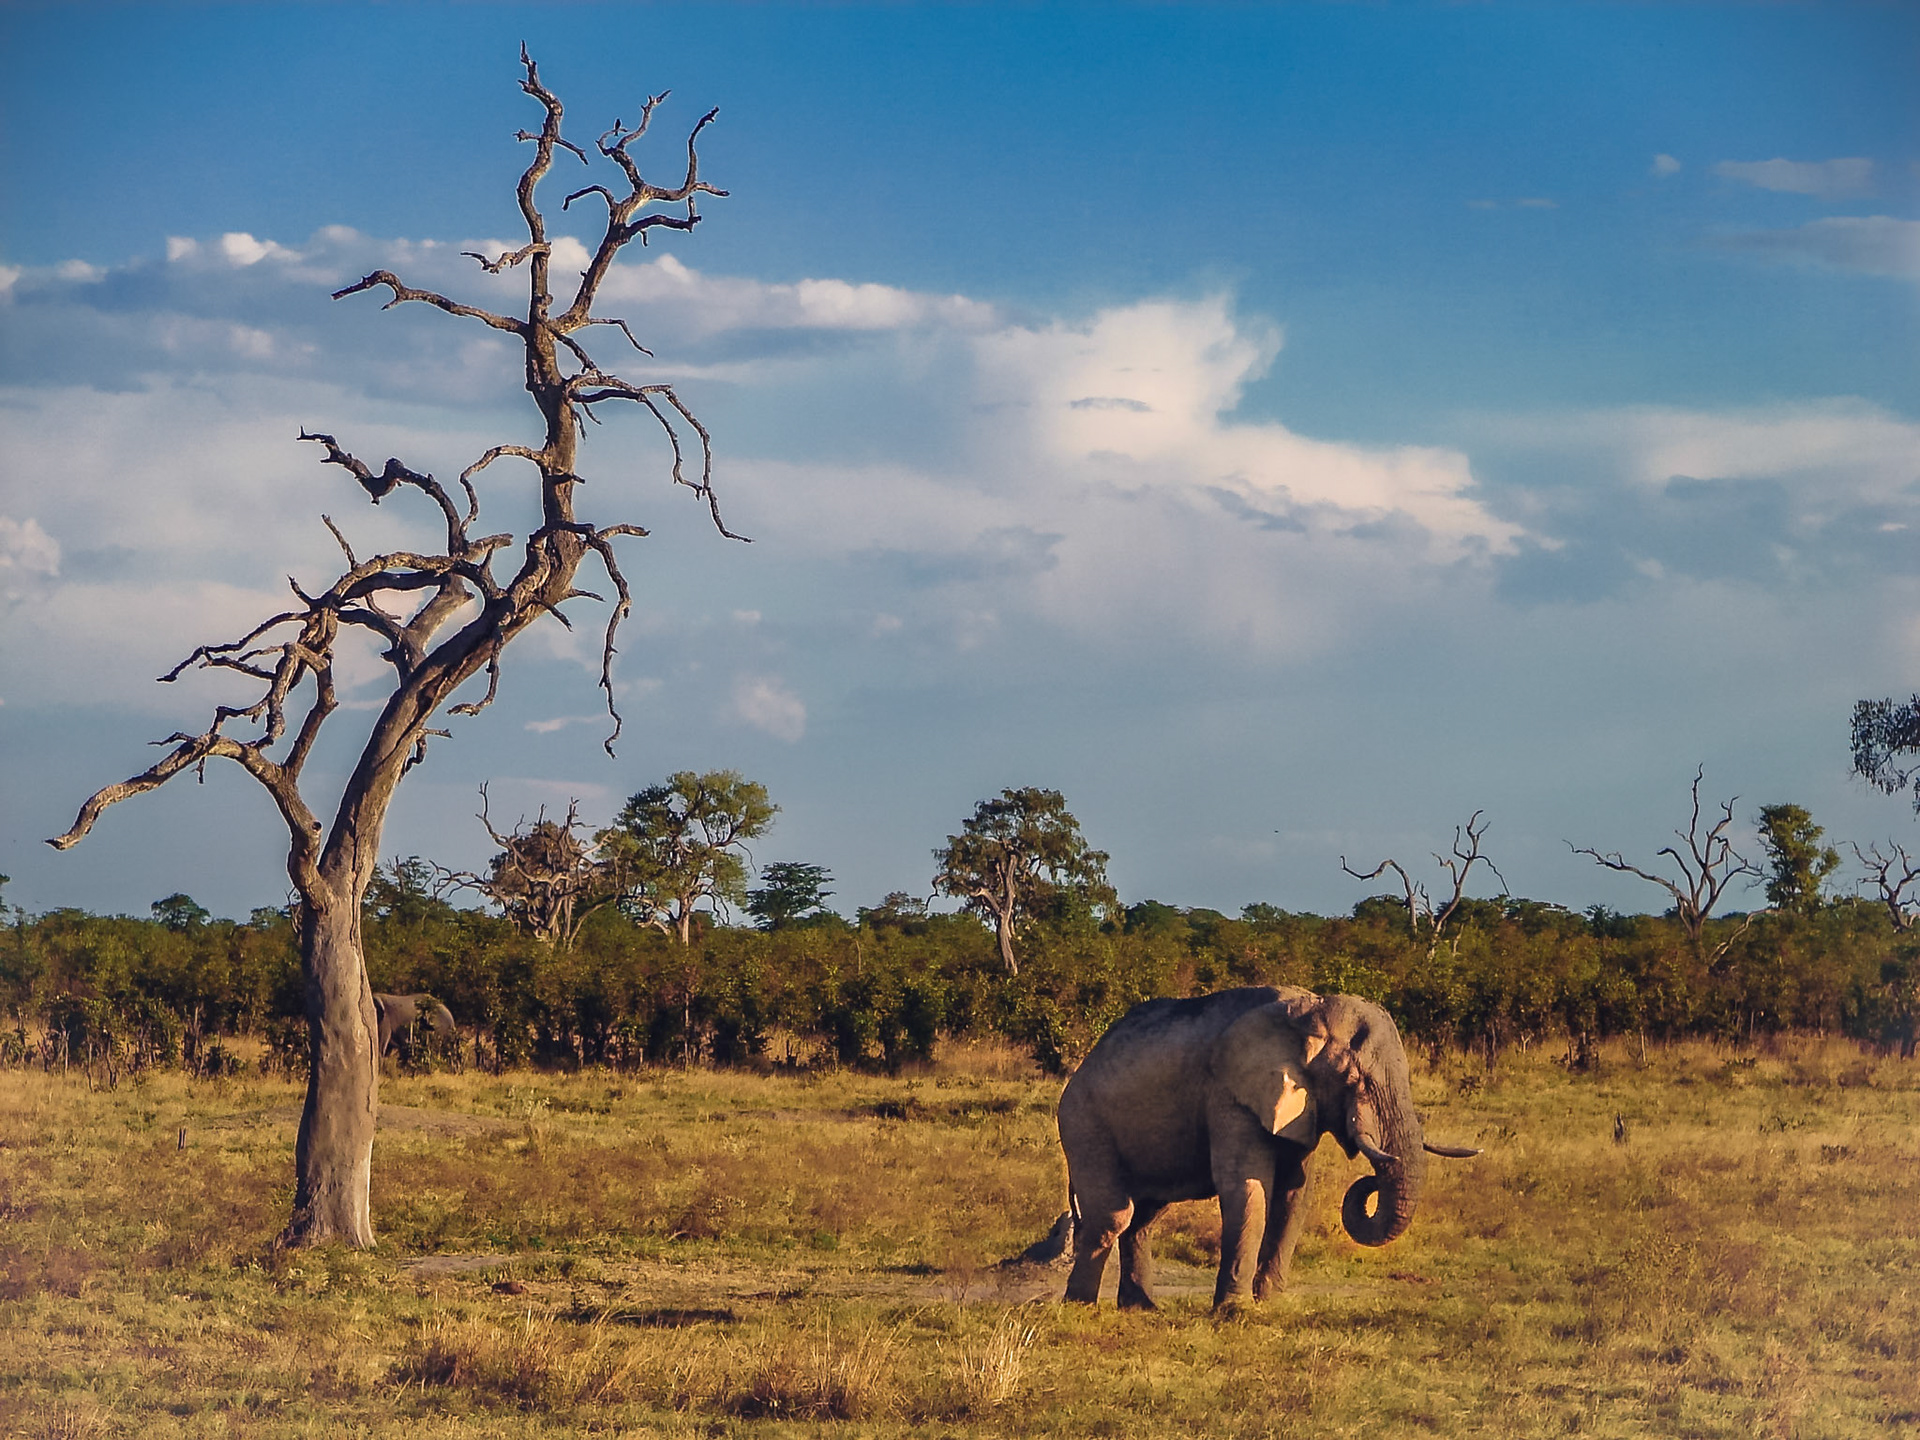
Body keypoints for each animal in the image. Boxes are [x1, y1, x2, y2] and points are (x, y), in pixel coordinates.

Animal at [1055, 985, 1479, 1310]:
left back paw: (1141, 1308)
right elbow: (1248, 1187)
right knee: (1114, 1216)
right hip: (1082, 1123)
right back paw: (1080, 1307)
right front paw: (1236, 1312)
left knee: (1143, 1217)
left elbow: (1295, 1193)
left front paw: (1269, 1303)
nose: (1374, 1175)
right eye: (1354, 1079)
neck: (1310, 1011)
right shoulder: (1230, 1093)